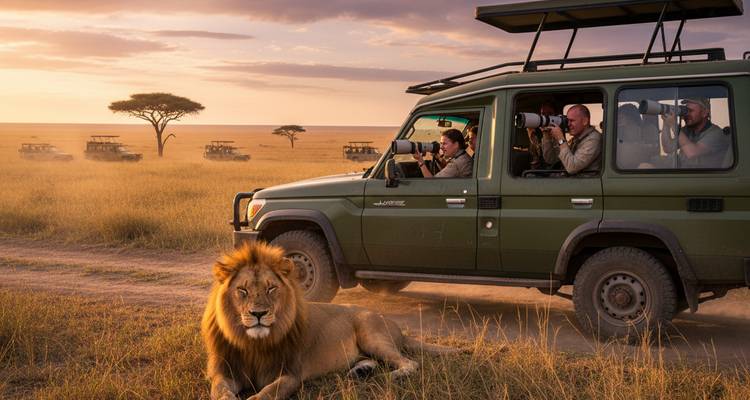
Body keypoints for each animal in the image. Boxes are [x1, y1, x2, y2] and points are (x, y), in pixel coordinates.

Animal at [201, 241, 451, 400]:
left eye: (271, 288)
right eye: (242, 290)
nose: (258, 314)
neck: (253, 343)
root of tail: (392, 322)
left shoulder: (291, 374)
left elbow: (270, 392)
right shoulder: (225, 372)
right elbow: (219, 390)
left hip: (372, 334)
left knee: (409, 362)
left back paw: (391, 375)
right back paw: (360, 371)